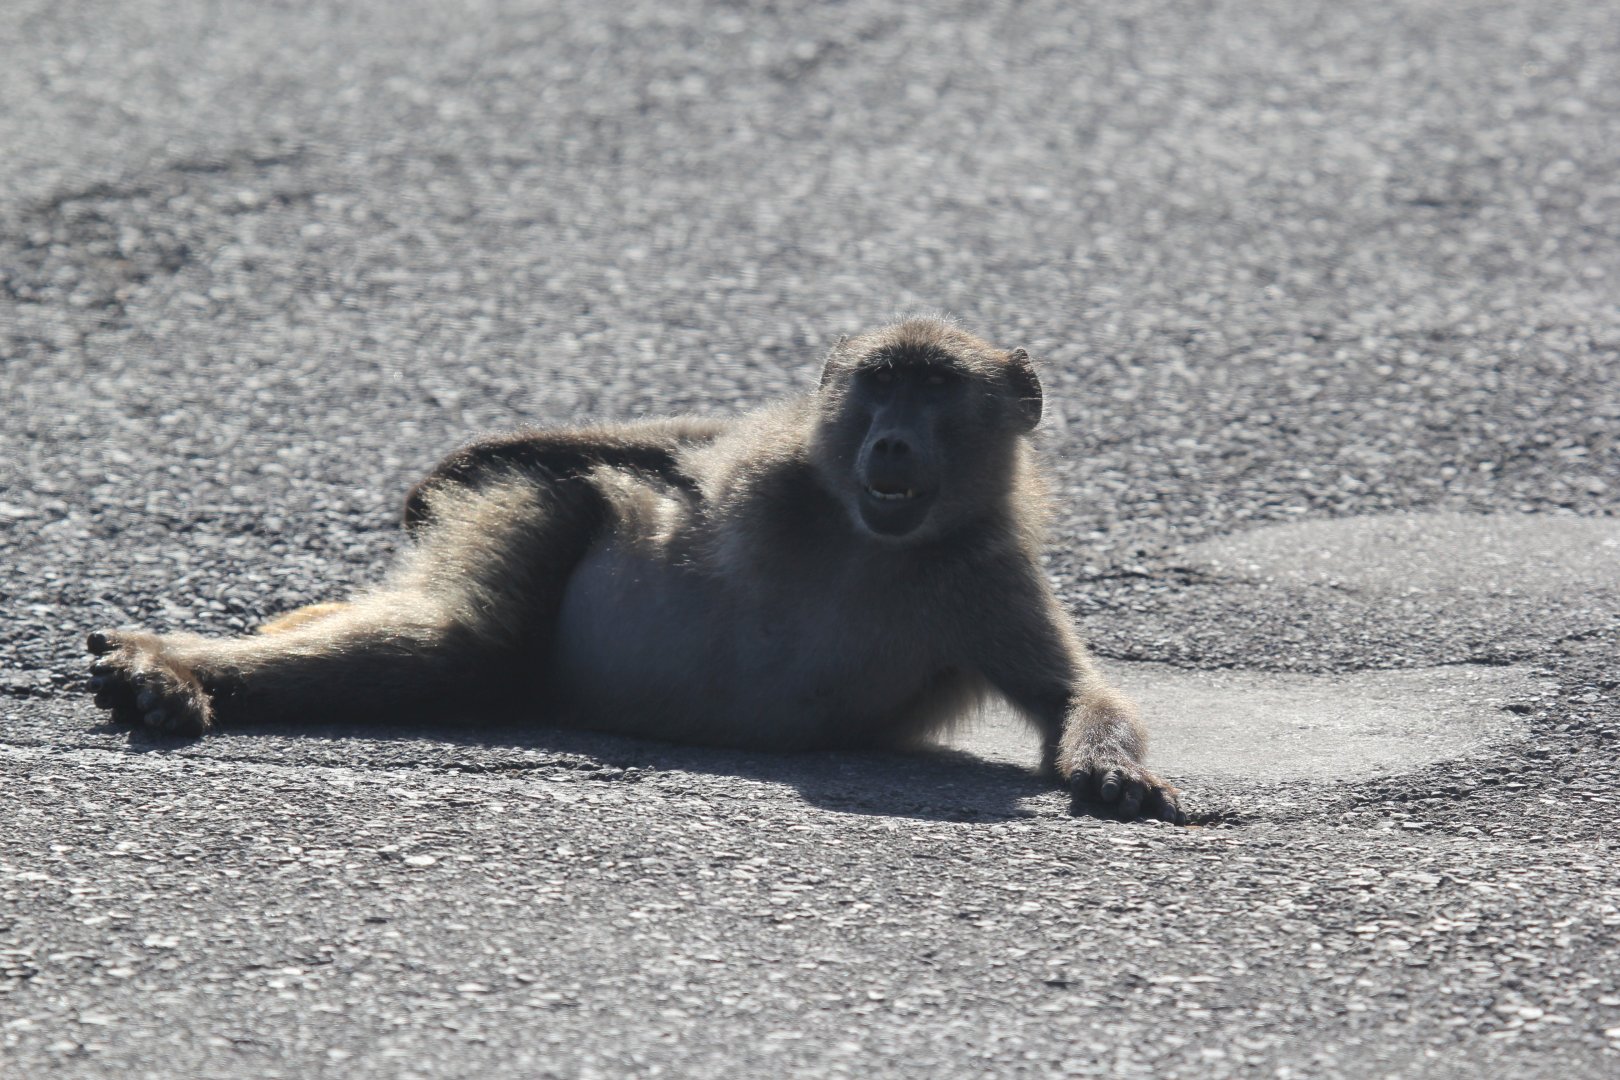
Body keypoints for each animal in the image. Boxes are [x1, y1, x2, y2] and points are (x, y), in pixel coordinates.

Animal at [84, 318, 1183, 822]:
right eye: (880, 388)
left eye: (936, 392)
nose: (891, 445)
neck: (874, 545)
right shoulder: (776, 468)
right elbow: (680, 456)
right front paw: (461, 457)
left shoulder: (983, 568)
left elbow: (1070, 694)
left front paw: (1112, 769)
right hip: (546, 513)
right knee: (471, 631)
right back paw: (164, 670)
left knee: (465, 661)